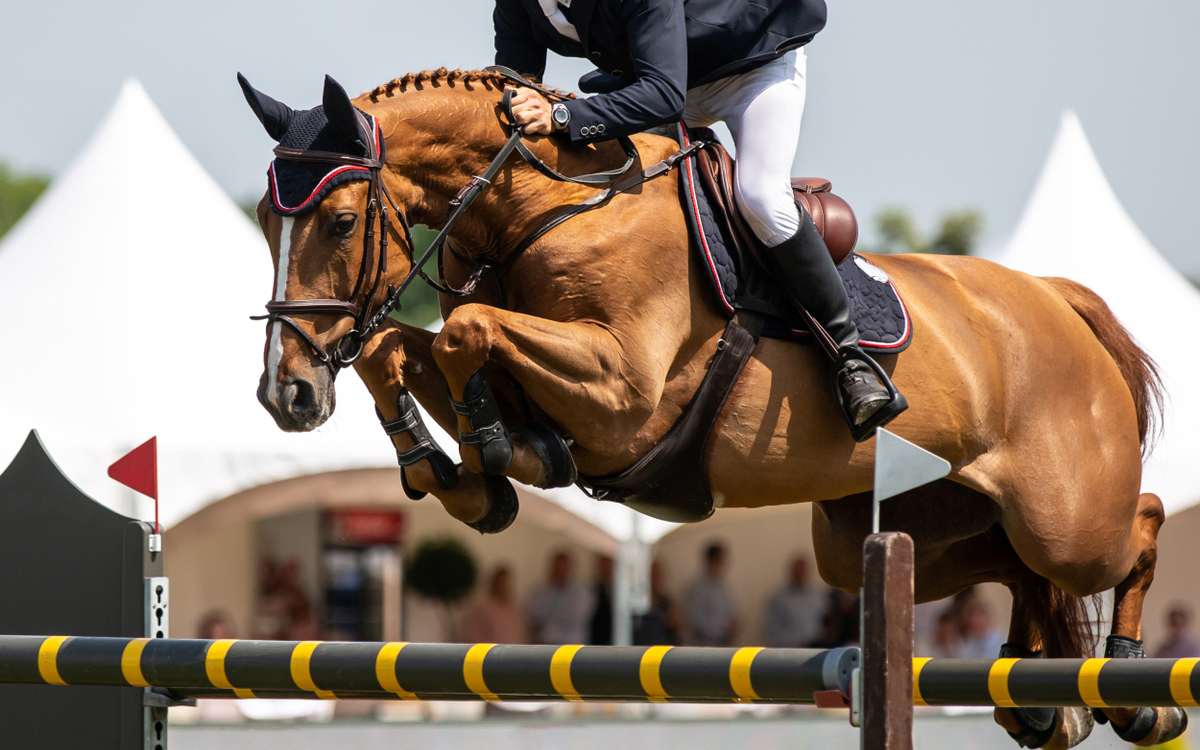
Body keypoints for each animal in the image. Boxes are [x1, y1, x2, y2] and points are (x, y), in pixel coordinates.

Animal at [243, 68, 1180, 744]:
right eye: (263, 220)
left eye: (339, 220)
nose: (286, 395)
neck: (546, 207)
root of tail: (1054, 298)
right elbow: (407, 349)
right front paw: (459, 472)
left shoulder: (623, 393)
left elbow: (464, 333)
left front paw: (496, 454)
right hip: (891, 528)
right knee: (1009, 567)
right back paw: (1039, 696)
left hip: (1064, 518)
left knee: (1135, 524)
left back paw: (1136, 693)